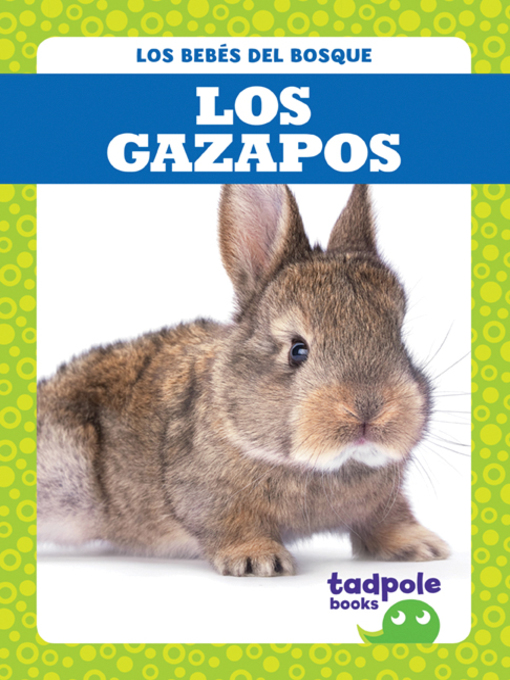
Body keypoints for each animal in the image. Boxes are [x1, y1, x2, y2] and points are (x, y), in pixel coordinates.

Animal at [37, 184, 450, 576]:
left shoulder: (383, 501)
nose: (369, 409)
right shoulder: (212, 498)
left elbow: (387, 518)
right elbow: (232, 525)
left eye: (398, 339)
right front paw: (258, 560)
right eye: (297, 349)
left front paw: (422, 546)